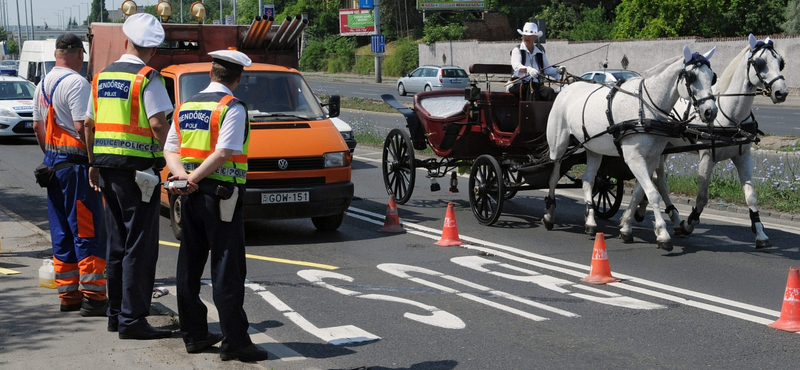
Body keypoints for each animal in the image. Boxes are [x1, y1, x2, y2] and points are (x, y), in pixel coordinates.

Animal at [544, 44, 720, 250]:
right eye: (691, 77)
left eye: (712, 76)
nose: (710, 112)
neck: (647, 109)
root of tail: (566, 87)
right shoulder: (634, 158)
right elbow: (652, 194)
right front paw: (663, 235)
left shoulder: (650, 159)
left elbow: (638, 193)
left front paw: (626, 227)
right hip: (559, 146)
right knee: (553, 176)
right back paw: (549, 215)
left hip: (594, 149)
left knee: (588, 180)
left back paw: (590, 222)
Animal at [624, 35, 788, 249]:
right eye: (760, 63)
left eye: (780, 62)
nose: (781, 93)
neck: (731, 116)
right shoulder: (707, 157)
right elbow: (702, 197)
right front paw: (689, 224)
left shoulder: (743, 157)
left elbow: (751, 196)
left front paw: (760, 232)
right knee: (660, 180)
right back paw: (672, 217)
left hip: (664, 148)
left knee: (655, 178)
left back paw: (657, 212)